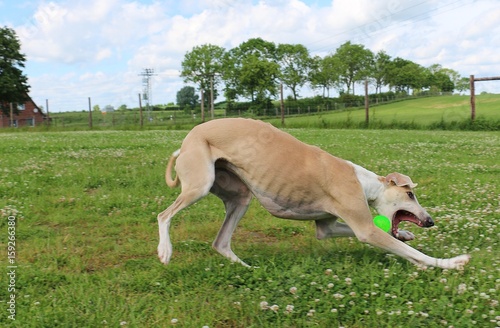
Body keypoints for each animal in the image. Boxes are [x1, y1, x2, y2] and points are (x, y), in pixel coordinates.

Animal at [158, 118, 470, 270]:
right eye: (411, 196)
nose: (430, 221)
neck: (364, 182)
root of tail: (185, 142)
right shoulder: (366, 229)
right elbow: (407, 250)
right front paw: (451, 263)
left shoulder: (328, 225)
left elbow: (331, 231)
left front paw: (404, 234)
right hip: (200, 184)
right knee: (163, 215)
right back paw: (165, 250)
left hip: (240, 196)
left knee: (221, 243)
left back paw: (247, 268)